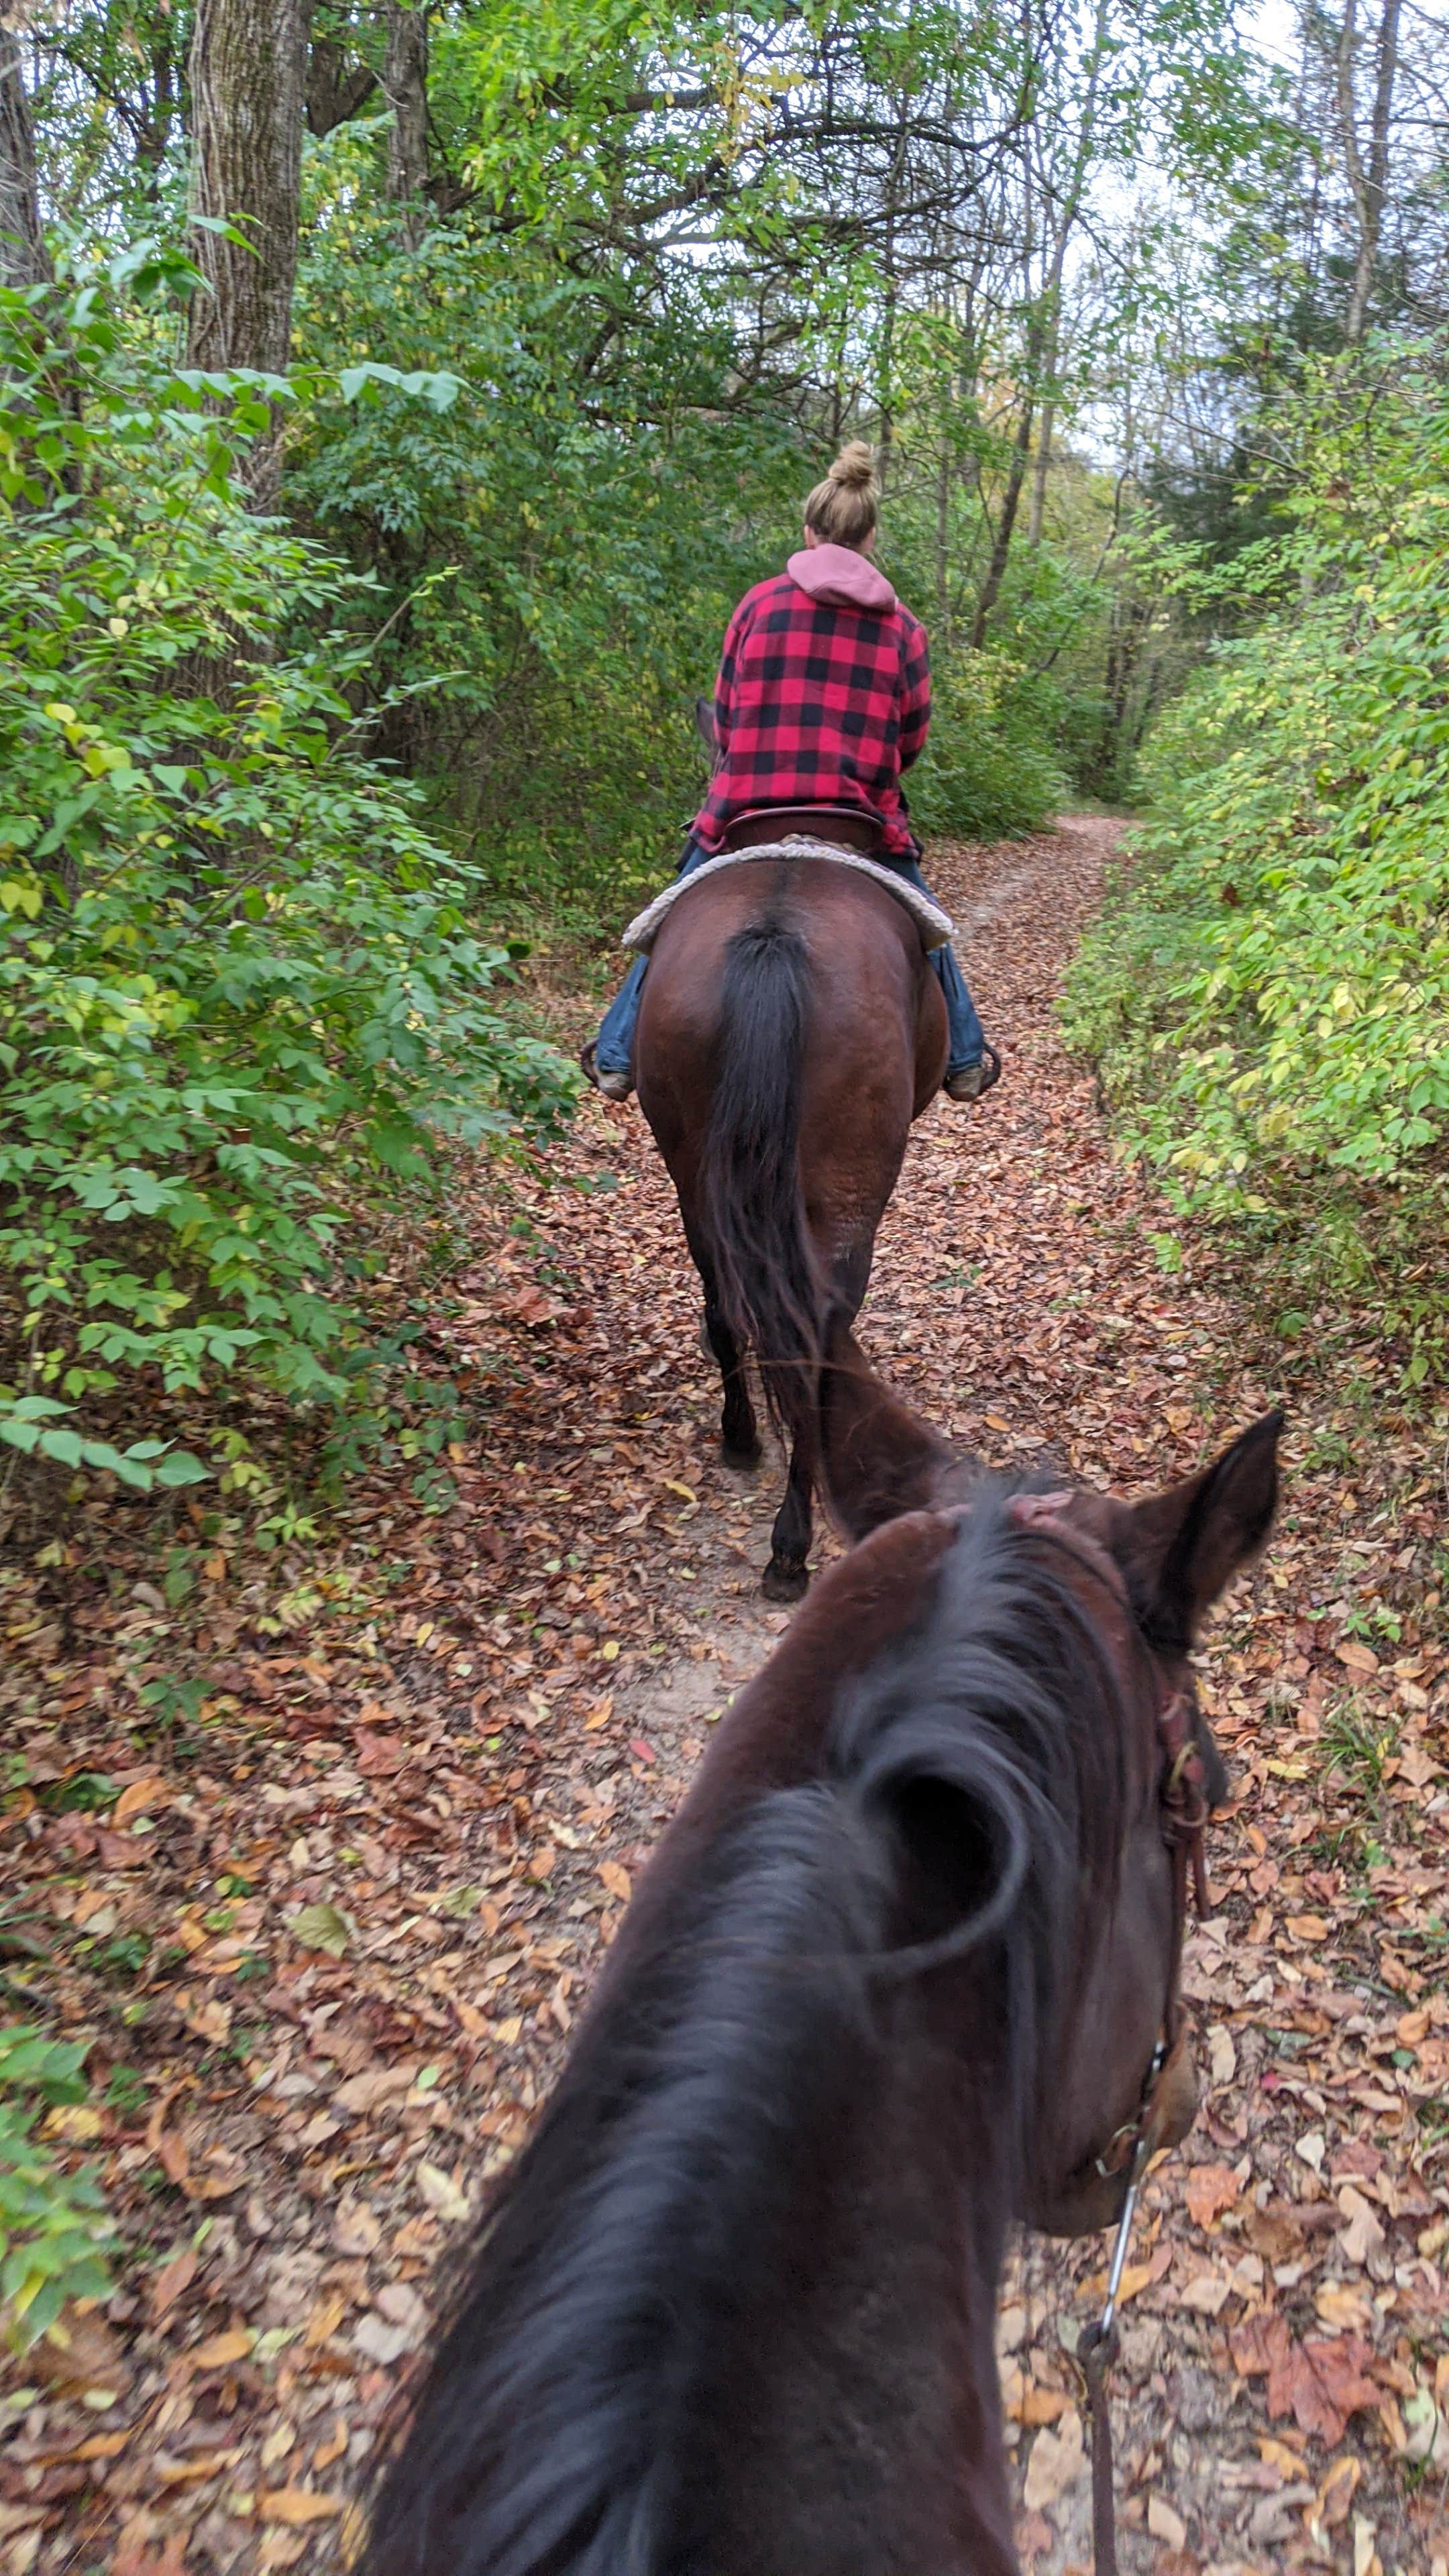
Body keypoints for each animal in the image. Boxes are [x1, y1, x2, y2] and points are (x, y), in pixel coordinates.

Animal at [633, 706, 949, 1599]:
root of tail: (777, 935)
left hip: (694, 1167)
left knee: (723, 1300)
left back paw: (742, 1442)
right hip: (850, 1185)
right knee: (818, 1330)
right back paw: (791, 1545)